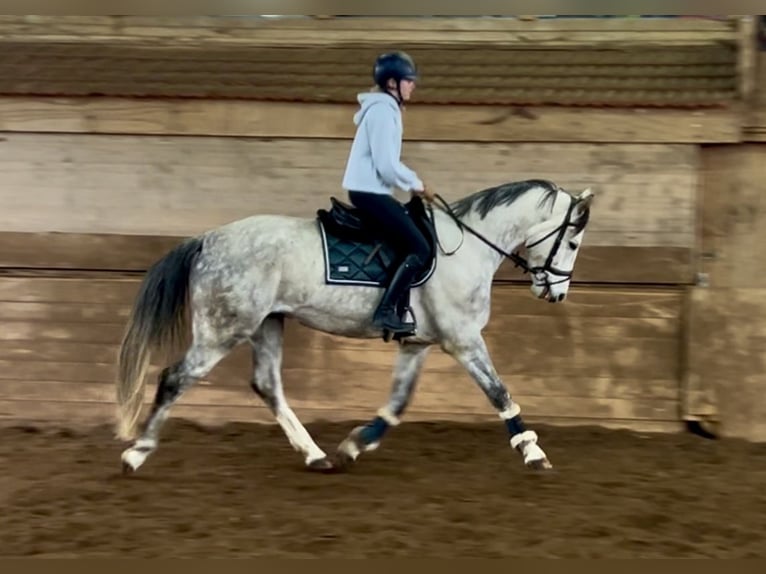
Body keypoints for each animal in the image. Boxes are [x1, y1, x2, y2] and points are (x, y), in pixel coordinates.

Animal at [115, 180, 592, 476]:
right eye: (571, 241)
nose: (556, 293)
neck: (467, 247)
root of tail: (208, 239)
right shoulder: (463, 341)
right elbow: (499, 393)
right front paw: (534, 453)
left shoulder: (417, 345)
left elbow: (397, 404)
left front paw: (354, 445)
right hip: (223, 328)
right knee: (174, 379)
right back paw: (136, 454)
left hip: (267, 324)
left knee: (267, 386)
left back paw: (316, 456)